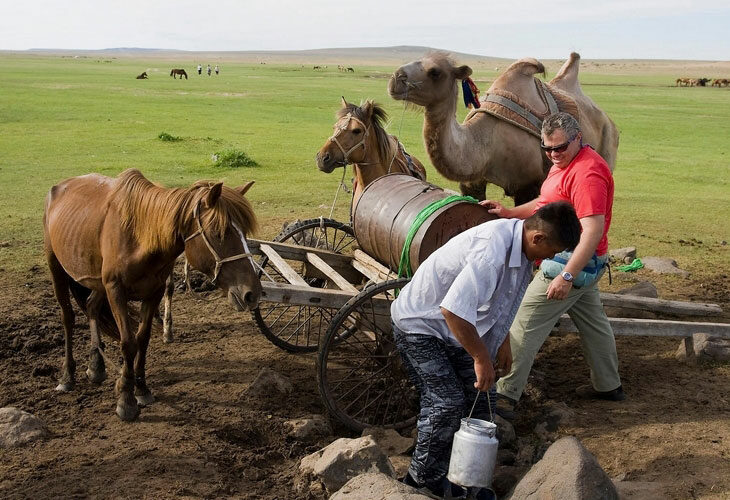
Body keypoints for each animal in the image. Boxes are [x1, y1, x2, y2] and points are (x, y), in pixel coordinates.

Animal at [42, 169, 258, 422]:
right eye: (219, 233)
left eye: (244, 232)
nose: (252, 293)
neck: (140, 236)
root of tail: (59, 187)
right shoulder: (116, 290)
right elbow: (128, 342)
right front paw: (126, 399)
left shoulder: (153, 292)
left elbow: (142, 339)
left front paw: (141, 389)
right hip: (56, 266)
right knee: (68, 318)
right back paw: (67, 376)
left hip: (97, 281)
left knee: (92, 306)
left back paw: (96, 365)